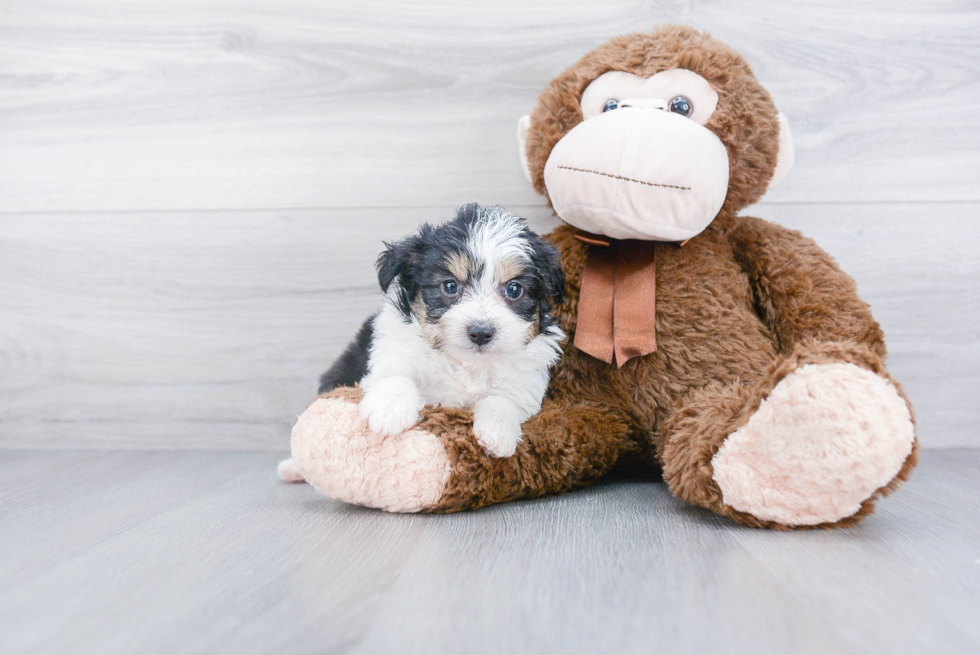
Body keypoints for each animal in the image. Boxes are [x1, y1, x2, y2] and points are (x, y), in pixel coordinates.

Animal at [290, 202, 568, 468]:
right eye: (450, 286)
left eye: (513, 290)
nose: (480, 332)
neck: (464, 363)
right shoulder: (390, 351)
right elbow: (396, 375)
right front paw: (389, 410)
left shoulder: (523, 384)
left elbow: (503, 400)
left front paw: (498, 433)